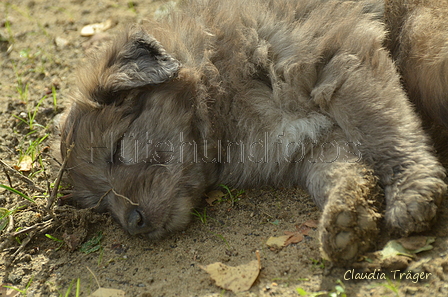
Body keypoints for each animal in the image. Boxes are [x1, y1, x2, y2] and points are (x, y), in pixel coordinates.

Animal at [62, 0, 444, 264]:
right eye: (100, 204)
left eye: (118, 147)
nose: (133, 224)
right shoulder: (314, 145)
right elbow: (338, 171)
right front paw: (348, 216)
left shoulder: (341, 62)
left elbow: (383, 129)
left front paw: (411, 188)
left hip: (422, 42)